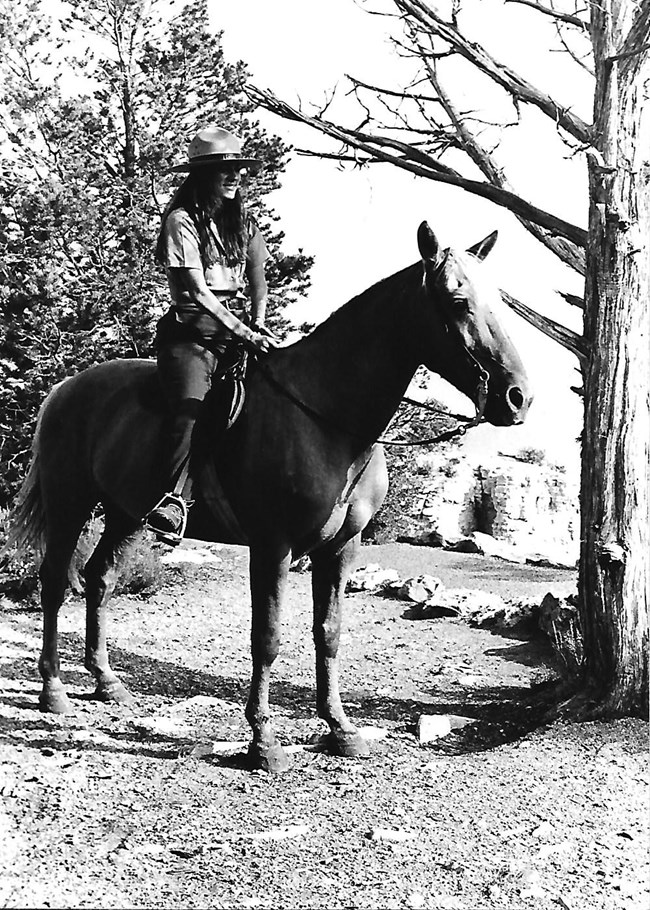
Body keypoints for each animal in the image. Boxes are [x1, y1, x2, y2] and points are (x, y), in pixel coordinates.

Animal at [7, 223, 528, 768]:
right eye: (458, 301)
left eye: (498, 302)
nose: (518, 397)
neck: (325, 417)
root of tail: (66, 388)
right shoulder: (273, 545)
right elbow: (268, 636)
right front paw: (263, 741)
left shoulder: (341, 549)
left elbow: (329, 633)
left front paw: (340, 729)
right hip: (70, 503)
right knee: (54, 582)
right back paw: (53, 690)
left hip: (126, 514)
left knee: (100, 579)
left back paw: (107, 682)